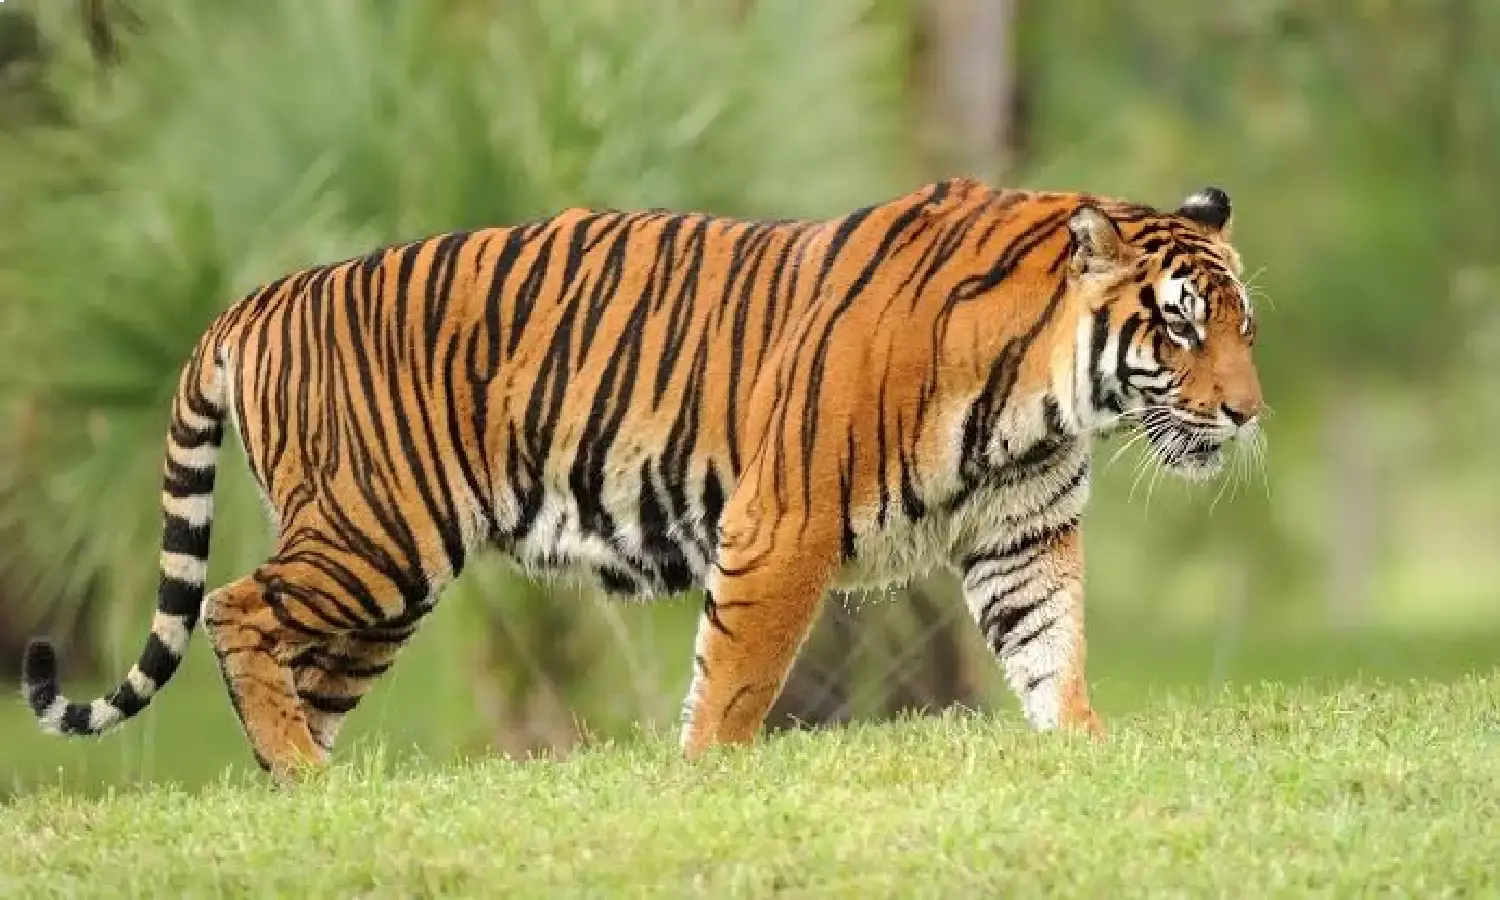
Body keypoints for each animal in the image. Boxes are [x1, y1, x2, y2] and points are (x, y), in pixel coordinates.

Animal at [21, 178, 1262, 781]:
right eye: (1182, 328)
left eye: (1243, 327)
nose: (1248, 413)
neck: (1043, 397)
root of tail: (258, 297)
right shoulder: (782, 523)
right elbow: (738, 678)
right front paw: (707, 776)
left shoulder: (1023, 539)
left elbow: (1052, 652)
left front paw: (1082, 749)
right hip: (374, 535)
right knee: (235, 608)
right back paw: (300, 776)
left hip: (383, 586)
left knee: (293, 667)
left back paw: (306, 793)